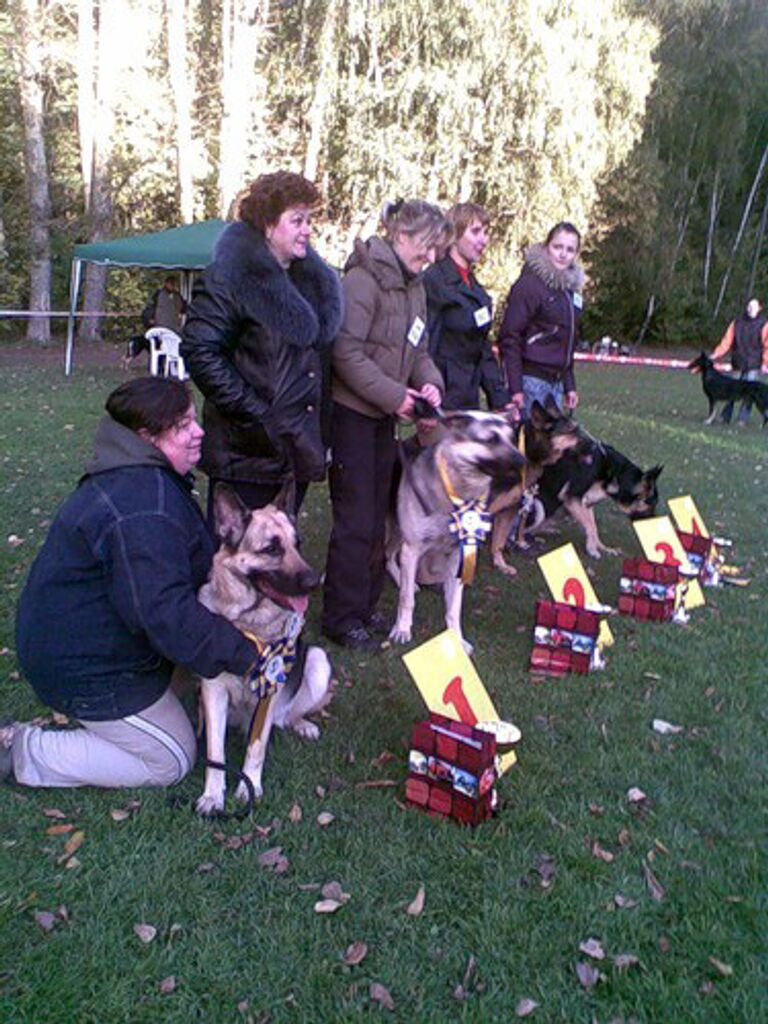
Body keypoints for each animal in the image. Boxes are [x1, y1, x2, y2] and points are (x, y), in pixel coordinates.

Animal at [193, 485, 331, 815]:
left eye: (297, 544)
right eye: (271, 549)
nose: (314, 582)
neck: (249, 623)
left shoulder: (270, 690)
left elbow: (256, 749)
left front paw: (250, 787)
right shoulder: (213, 691)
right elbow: (215, 753)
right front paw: (213, 795)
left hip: (317, 662)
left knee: (288, 715)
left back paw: (302, 724)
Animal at [387, 405, 528, 651]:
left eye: (512, 440)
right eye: (491, 439)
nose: (523, 461)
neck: (457, 488)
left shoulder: (459, 555)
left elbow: (454, 606)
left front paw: (457, 639)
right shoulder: (412, 549)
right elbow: (406, 600)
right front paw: (402, 629)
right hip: (396, 532)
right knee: (387, 557)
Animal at [489, 397, 585, 577]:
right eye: (571, 430)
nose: (597, 446)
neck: (525, 448)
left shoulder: (507, 508)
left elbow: (498, 541)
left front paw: (500, 564)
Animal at [532, 436, 663, 557]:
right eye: (651, 504)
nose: (655, 524)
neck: (614, 474)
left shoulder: (586, 503)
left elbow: (593, 526)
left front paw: (602, 547)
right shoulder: (573, 500)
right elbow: (591, 526)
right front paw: (592, 550)